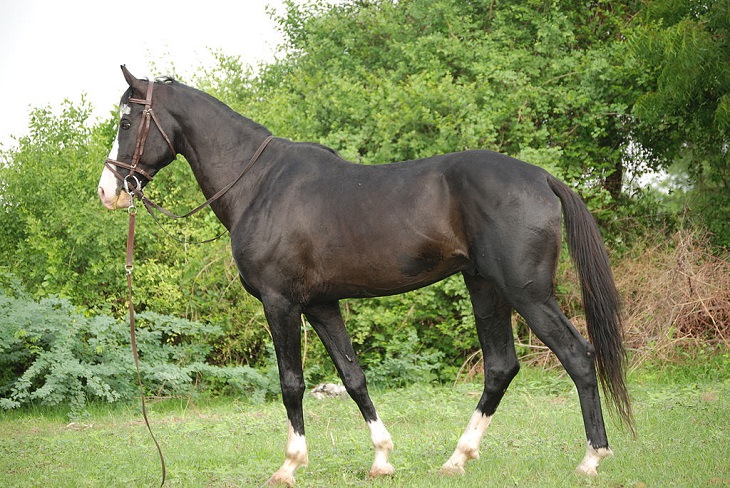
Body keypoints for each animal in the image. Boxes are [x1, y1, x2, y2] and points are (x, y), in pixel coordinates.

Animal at [98, 66, 632, 486]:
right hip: (485, 287)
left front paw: (289, 465)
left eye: (126, 119)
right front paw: (382, 459)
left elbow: (291, 382)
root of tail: (541, 177)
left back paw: (591, 459)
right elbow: (353, 377)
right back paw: (457, 459)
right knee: (501, 366)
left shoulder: (280, 302)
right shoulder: (321, 304)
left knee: (578, 357)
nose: (109, 191)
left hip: (527, 293)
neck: (260, 185)